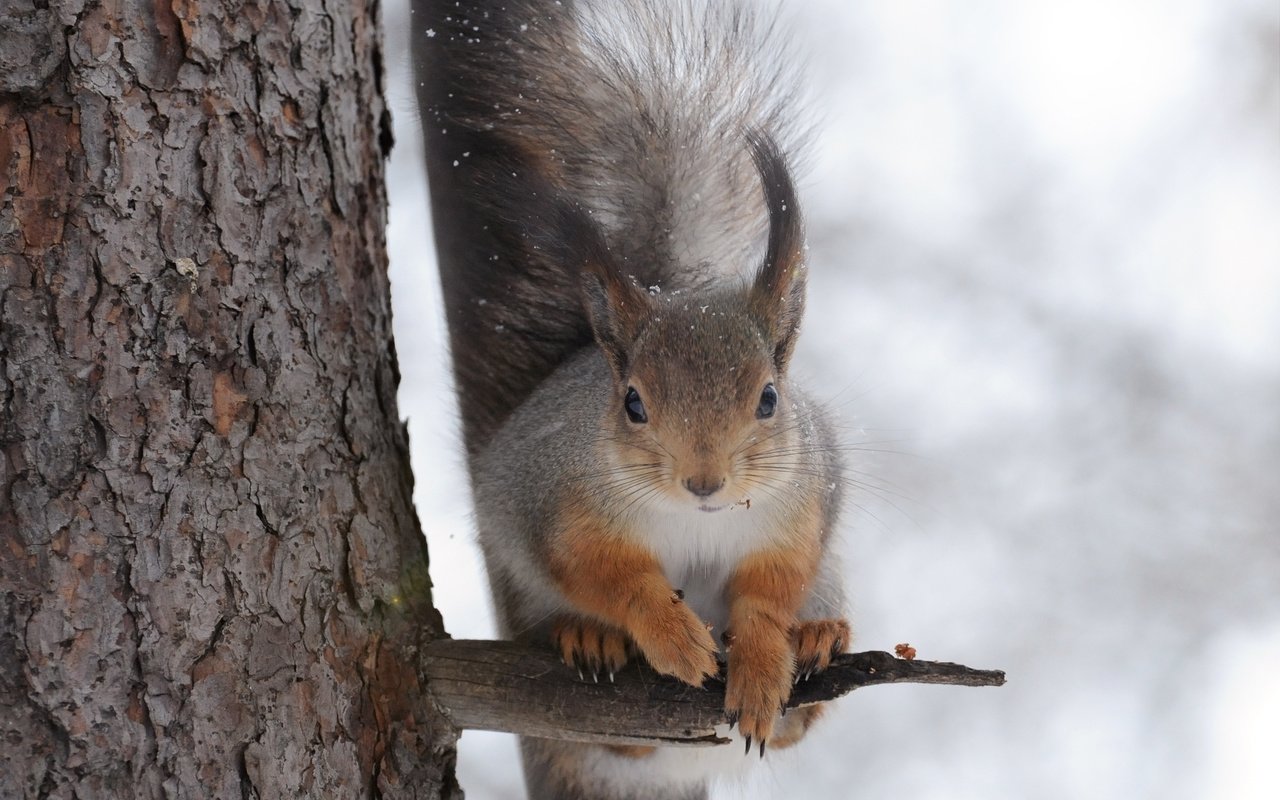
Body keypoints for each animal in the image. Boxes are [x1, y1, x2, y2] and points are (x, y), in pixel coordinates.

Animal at [409, 1, 849, 798]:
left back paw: (820, 638)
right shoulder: (558, 501)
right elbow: (606, 575)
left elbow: (770, 590)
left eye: (770, 398)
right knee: (623, 741)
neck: (696, 519)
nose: (704, 482)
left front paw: (764, 658)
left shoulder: (801, 506)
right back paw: (589, 641)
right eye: (634, 404)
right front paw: (670, 635)